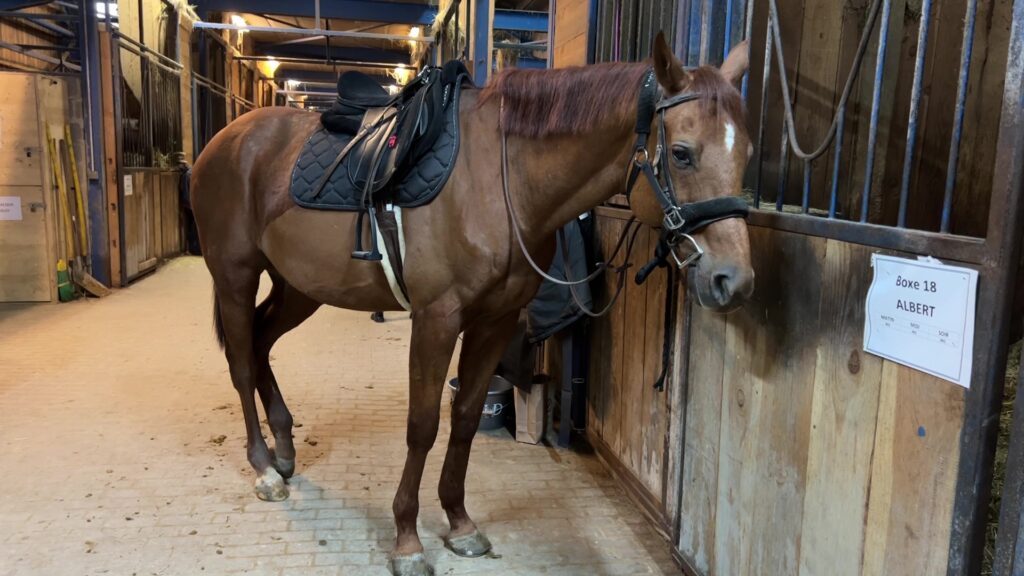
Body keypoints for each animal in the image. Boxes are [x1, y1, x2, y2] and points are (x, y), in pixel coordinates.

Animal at [190, 36, 753, 573]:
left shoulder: (494, 322)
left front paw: (459, 524)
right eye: (681, 153)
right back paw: (264, 468)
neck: (503, 183)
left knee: (260, 344)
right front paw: (407, 540)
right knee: (241, 362)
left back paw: (284, 451)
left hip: (298, 287)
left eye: (746, 153)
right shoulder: (436, 320)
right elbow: (422, 426)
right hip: (235, 277)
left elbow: (463, 419)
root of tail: (225, 142)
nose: (734, 280)